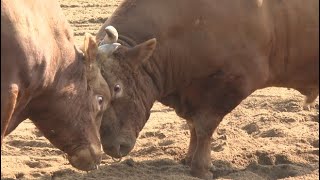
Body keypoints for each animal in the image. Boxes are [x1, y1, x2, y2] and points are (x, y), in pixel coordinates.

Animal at [94, 0, 318, 178]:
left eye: (117, 87)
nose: (113, 147)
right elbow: (193, 125)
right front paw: (189, 158)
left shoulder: (228, 86)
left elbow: (204, 126)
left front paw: (200, 167)